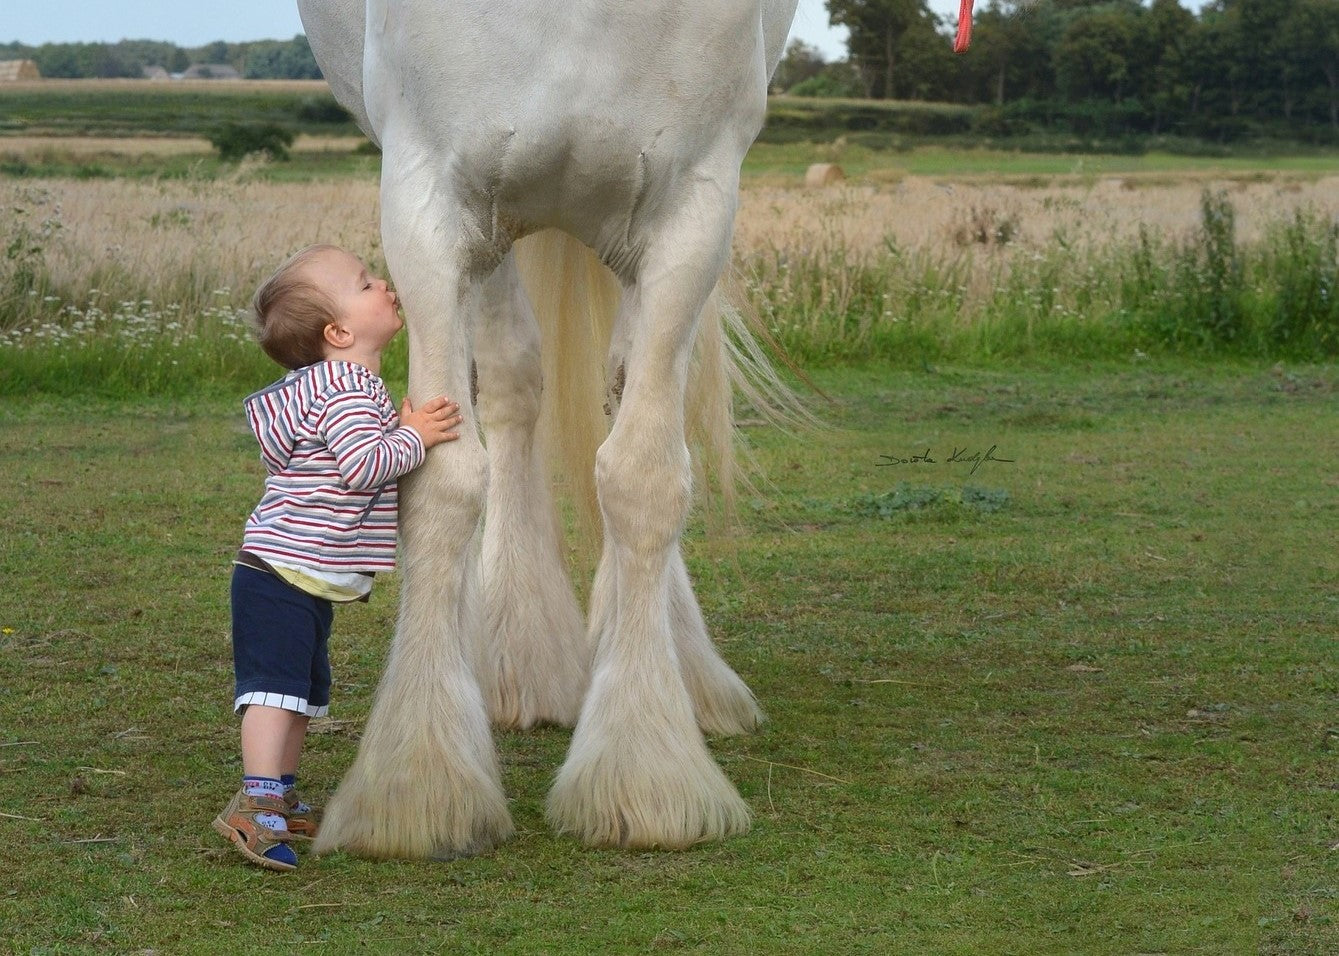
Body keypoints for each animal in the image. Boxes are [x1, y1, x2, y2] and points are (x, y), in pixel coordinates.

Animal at [293, 0, 795, 858]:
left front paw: (644, 768)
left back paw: (685, 675)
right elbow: (440, 481)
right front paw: (416, 783)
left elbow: (644, 477)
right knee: (510, 383)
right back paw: (517, 660)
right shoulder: (427, 202)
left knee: (621, 400)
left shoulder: (693, 211)